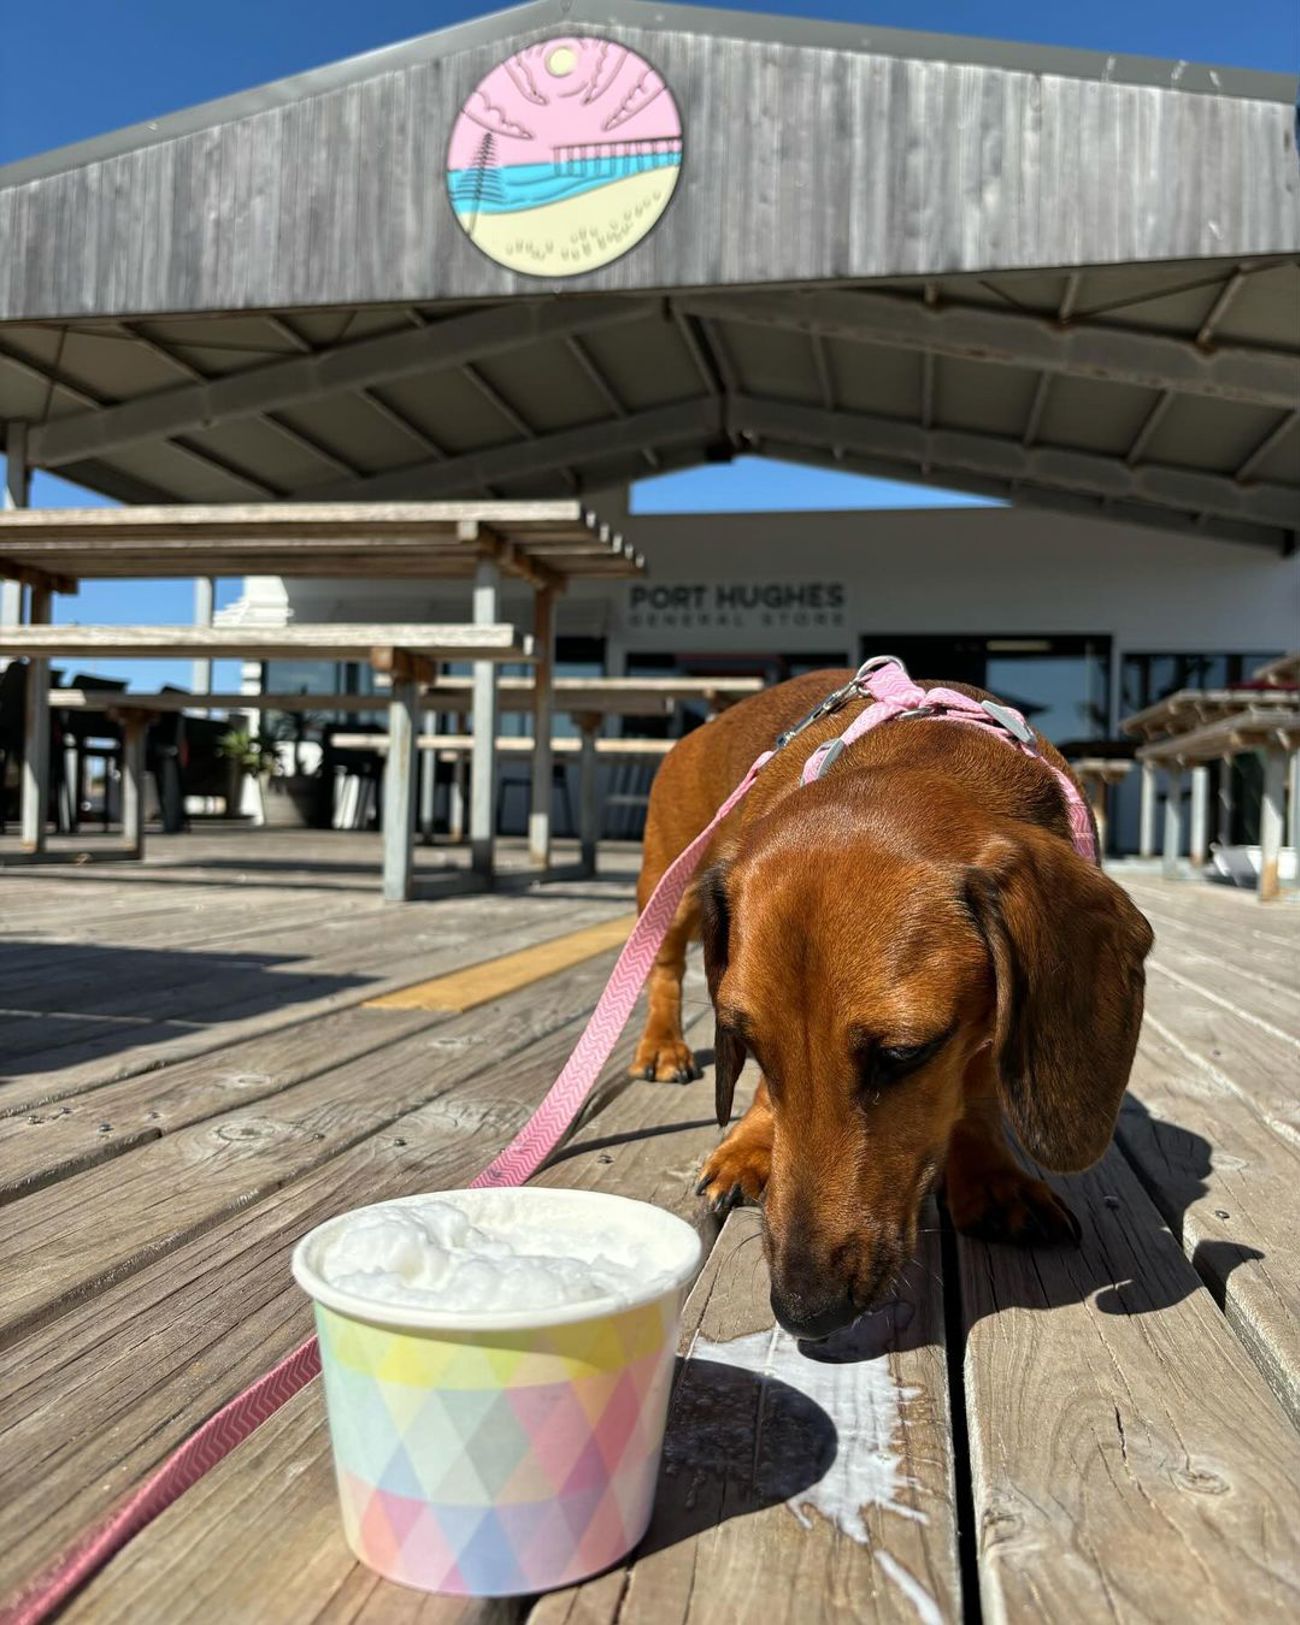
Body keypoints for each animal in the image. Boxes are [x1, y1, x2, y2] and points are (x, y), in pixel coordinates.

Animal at [633, 666, 1150, 1339]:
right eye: (751, 1048)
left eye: (904, 1055)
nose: (804, 1312)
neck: (925, 749)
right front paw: (751, 1144)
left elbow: (978, 1088)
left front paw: (991, 1173)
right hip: (669, 894)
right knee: (663, 971)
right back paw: (662, 1047)